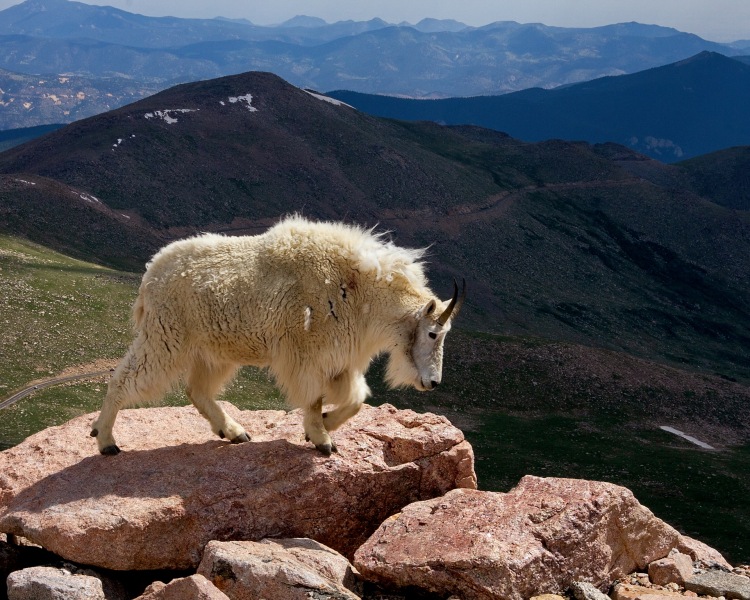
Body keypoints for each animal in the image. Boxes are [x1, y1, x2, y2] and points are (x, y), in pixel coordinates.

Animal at [89, 216, 464, 454]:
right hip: (166, 337)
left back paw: (234, 432)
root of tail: (149, 276)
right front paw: (321, 439)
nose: (433, 382)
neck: (360, 289)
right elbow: (314, 397)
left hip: (214, 349)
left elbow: (357, 398)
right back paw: (106, 440)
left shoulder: (340, 359)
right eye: (433, 334)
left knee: (197, 389)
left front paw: (325, 424)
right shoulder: (307, 355)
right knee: (123, 379)